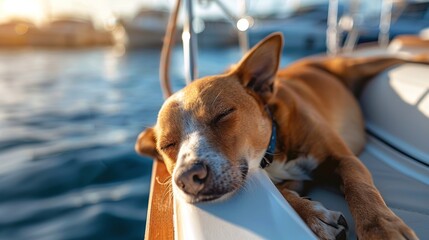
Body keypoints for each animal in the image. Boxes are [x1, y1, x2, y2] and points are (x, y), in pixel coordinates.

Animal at [135, 32, 422, 239]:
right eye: (167, 145)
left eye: (223, 114)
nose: (187, 177)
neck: (274, 150)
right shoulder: (290, 181)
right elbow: (285, 194)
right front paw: (313, 215)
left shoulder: (344, 158)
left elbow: (359, 188)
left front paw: (382, 227)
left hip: (367, 64)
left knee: (408, 61)